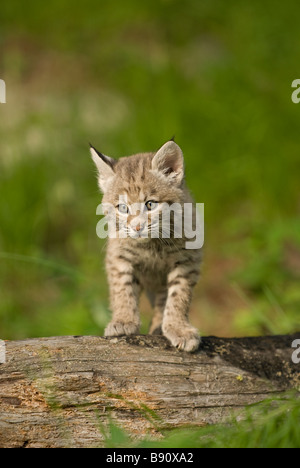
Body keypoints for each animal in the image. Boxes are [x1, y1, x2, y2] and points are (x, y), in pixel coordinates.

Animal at [91, 141, 202, 352]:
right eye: (123, 208)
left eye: (150, 205)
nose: (137, 227)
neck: (151, 246)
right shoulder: (118, 257)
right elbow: (122, 289)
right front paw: (123, 321)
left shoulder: (186, 260)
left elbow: (179, 296)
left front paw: (178, 328)